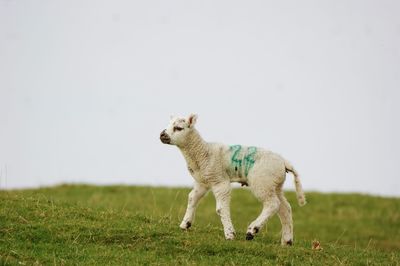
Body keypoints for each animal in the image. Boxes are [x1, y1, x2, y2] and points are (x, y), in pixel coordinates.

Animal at [159, 114, 306, 245]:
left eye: (178, 128)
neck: (203, 152)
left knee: (273, 204)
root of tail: (284, 162)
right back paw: (287, 241)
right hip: (275, 184)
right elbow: (192, 198)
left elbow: (220, 209)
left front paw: (230, 234)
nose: (162, 135)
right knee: (285, 208)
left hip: (262, 182)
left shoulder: (219, 180)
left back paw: (252, 230)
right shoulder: (203, 181)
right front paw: (185, 224)